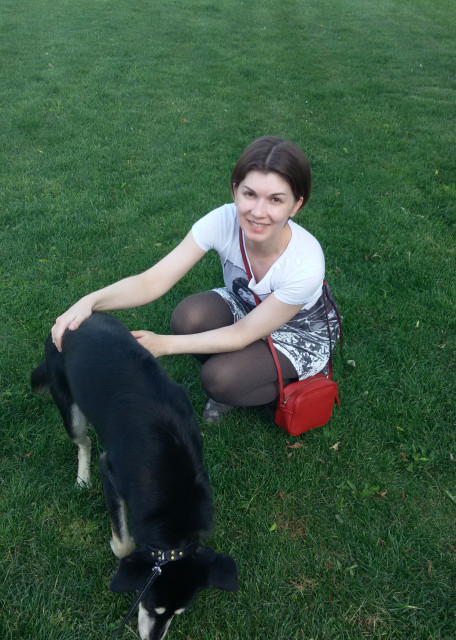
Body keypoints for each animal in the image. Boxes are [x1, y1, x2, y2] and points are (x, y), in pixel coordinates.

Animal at [31, 312, 238, 640]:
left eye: (177, 613)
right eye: (150, 605)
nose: (152, 639)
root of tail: (78, 313)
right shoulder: (111, 472)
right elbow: (124, 543)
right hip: (70, 409)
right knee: (83, 441)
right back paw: (82, 478)